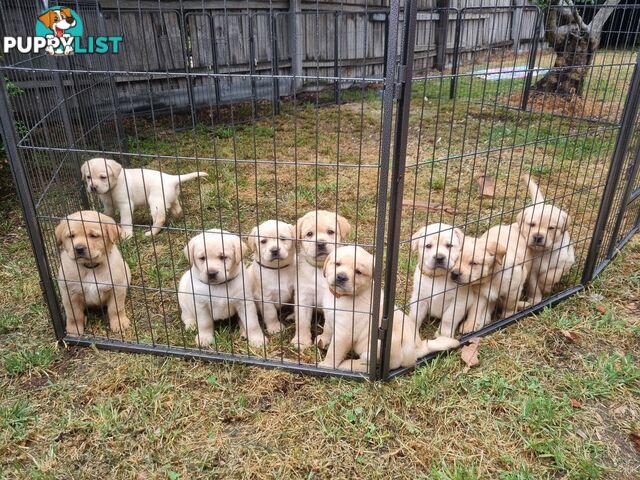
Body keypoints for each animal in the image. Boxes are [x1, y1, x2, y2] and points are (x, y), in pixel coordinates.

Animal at [57, 210, 132, 338]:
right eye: (71, 236)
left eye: (93, 236)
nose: (79, 248)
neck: (90, 267)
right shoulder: (69, 293)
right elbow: (74, 314)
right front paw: (74, 329)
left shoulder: (117, 288)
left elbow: (115, 309)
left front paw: (119, 323)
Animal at [294, 210, 350, 348]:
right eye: (309, 234)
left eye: (330, 232)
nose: (320, 243)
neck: (321, 268)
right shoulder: (303, 296)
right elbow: (302, 321)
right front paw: (301, 341)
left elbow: (329, 326)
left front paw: (324, 340)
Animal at [318, 246, 458, 374]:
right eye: (337, 264)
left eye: (358, 272)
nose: (341, 277)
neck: (341, 296)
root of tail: (418, 349)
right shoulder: (330, 317)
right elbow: (327, 329)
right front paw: (322, 340)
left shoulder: (344, 333)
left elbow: (334, 351)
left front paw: (327, 366)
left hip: (383, 344)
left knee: (369, 365)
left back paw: (347, 365)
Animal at [520, 175, 576, 304]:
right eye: (531, 224)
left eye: (551, 228)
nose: (538, 237)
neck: (543, 252)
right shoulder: (531, 271)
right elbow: (533, 286)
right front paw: (534, 300)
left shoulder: (563, 263)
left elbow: (550, 275)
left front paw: (545, 287)